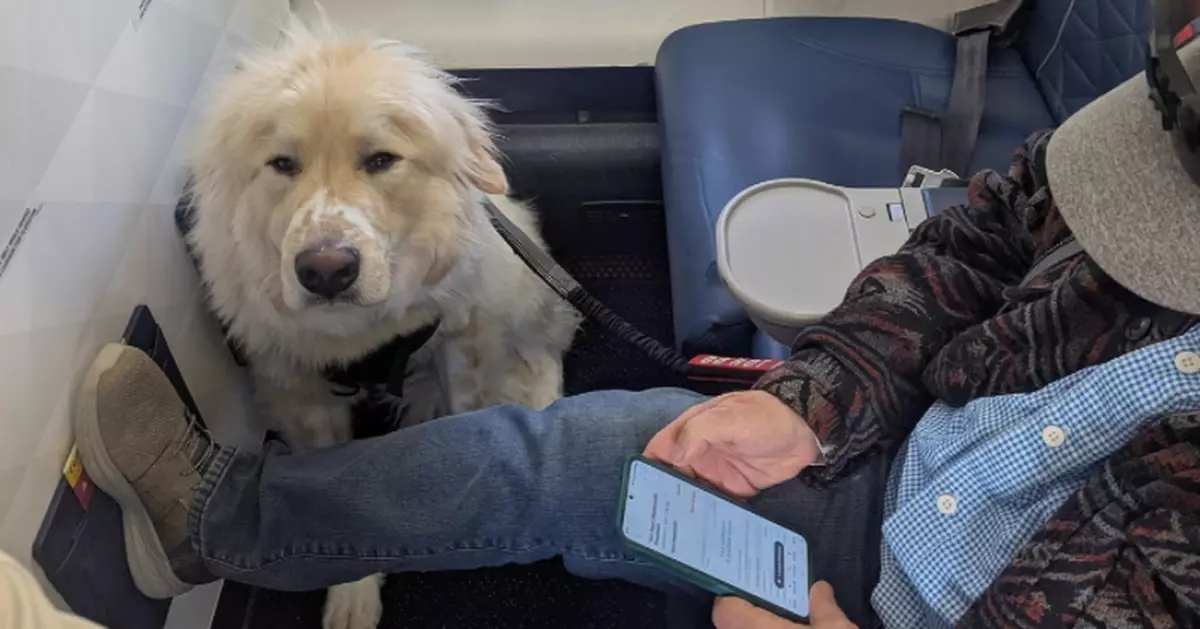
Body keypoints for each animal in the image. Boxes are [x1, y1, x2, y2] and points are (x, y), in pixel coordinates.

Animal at [183, 19, 580, 629]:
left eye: (380, 160)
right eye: (283, 164)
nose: (326, 270)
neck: (361, 333)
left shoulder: (461, 341)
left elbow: (464, 417)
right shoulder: (299, 389)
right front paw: (353, 594)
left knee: (541, 355)